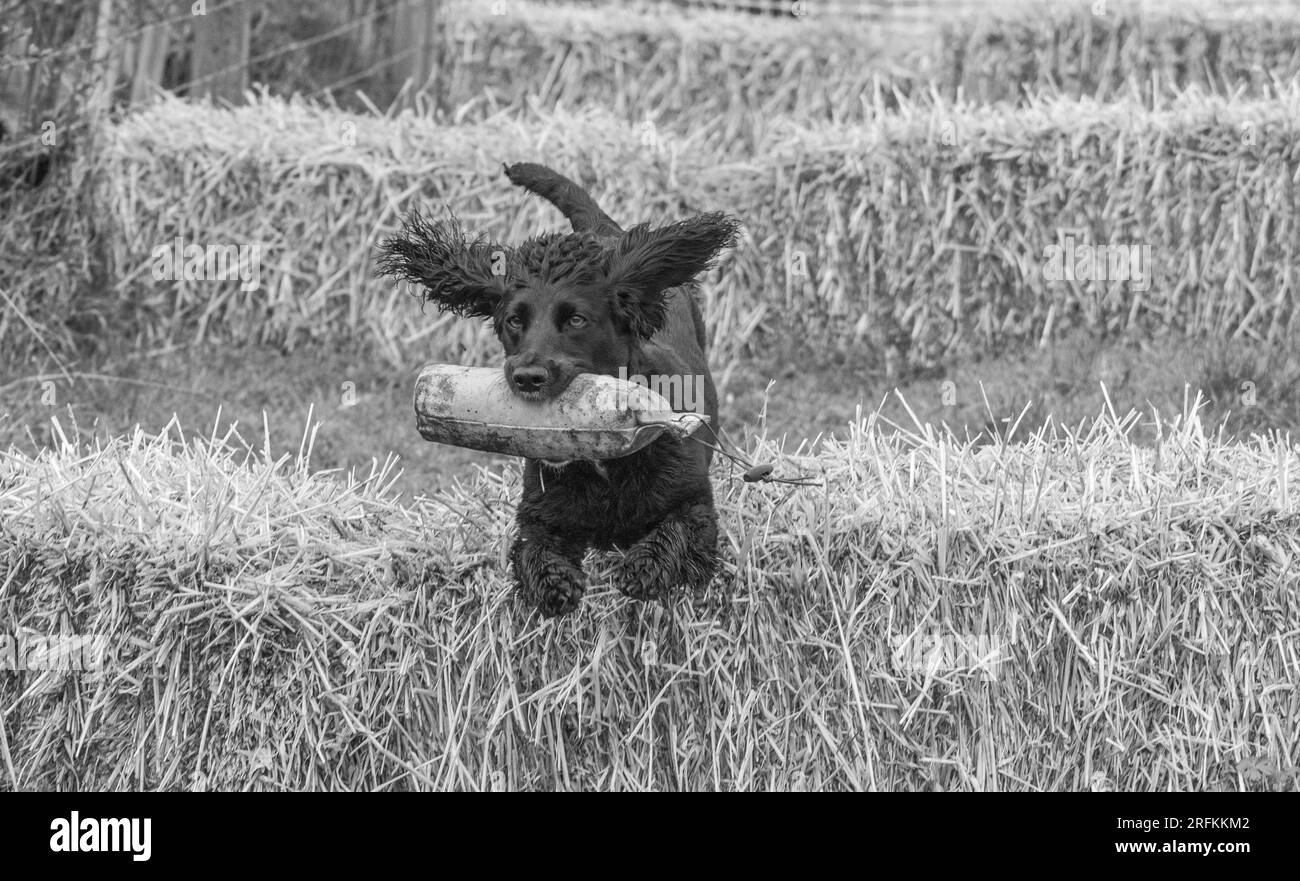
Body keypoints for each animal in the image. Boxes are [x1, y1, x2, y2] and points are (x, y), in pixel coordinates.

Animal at [379, 162, 743, 618]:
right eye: (514, 321)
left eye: (576, 320)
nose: (527, 377)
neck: (604, 466)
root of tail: (606, 233)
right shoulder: (540, 515)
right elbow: (532, 548)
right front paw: (554, 583)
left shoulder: (696, 508)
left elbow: (675, 531)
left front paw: (644, 566)